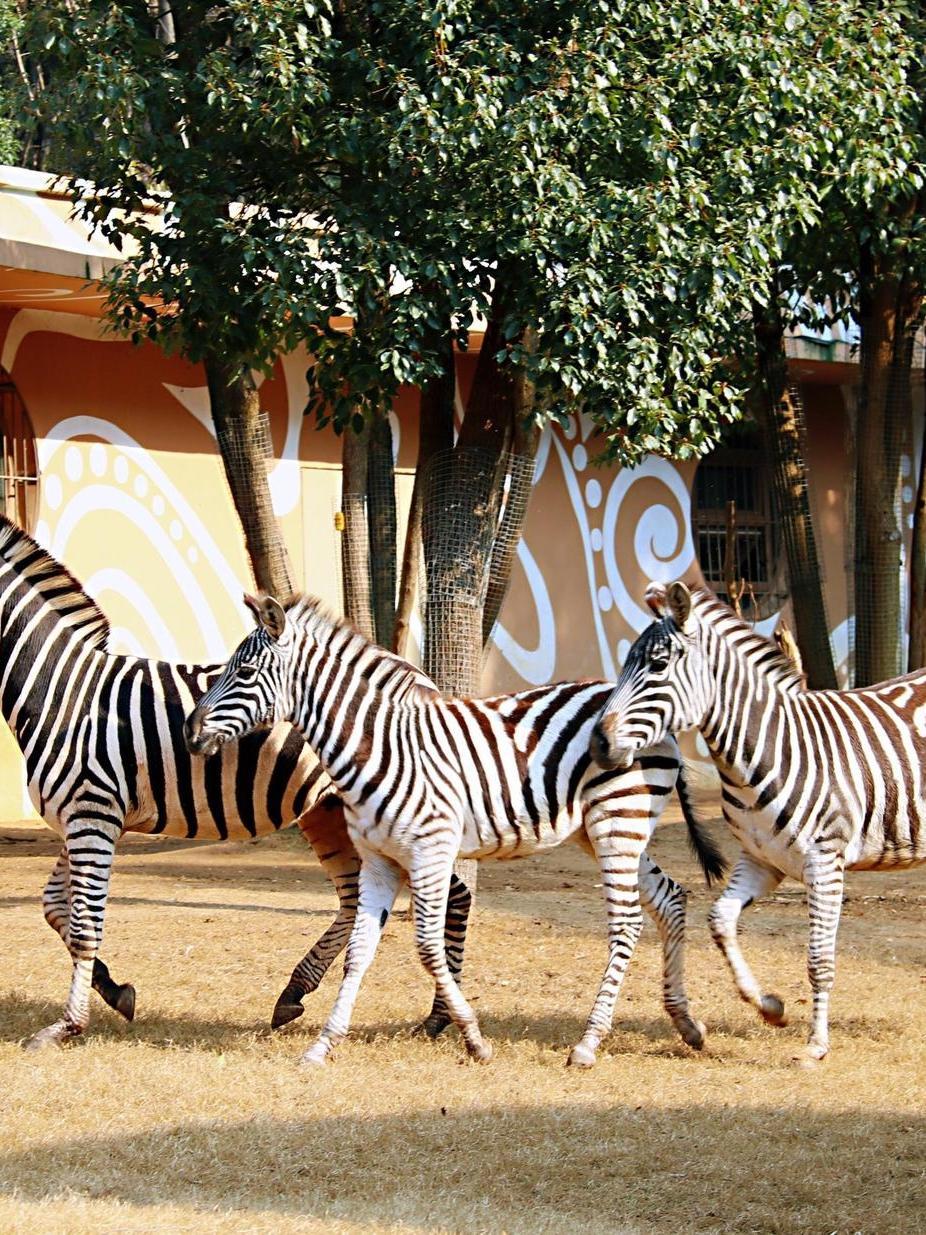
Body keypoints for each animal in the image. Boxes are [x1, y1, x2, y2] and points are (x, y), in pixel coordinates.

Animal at [0, 516, 481, 1047]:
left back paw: (439, 1015)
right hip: (330, 809)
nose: (191, 733)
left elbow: (84, 924)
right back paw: (296, 993)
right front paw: (115, 991)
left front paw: (68, 1025)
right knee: (355, 896)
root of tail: (421, 678)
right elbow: (54, 909)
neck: (63, 690)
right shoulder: (77, 820)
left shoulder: (93, 814)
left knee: (452, 896)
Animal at [185, 592, 730, 1067]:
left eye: (245, 672)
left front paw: (473, 1038)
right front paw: (323, 1046)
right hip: (604, 830)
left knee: (628, 922)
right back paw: (687, 1024)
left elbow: (428, 948)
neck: (378, 745)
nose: (190, 732)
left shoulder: (429, 850)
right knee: (670, 898)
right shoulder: (380, 860)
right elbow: (359, 951)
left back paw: (589, 1042)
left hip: (618, 821)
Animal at [590, 582, 926, 1067]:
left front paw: (816, 1045)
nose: (598, 743)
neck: (766, 750)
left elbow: (819, 959)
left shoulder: (825, 861)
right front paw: (768, 1005)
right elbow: (720, 921)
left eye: (657, 665)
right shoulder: (762, 857)